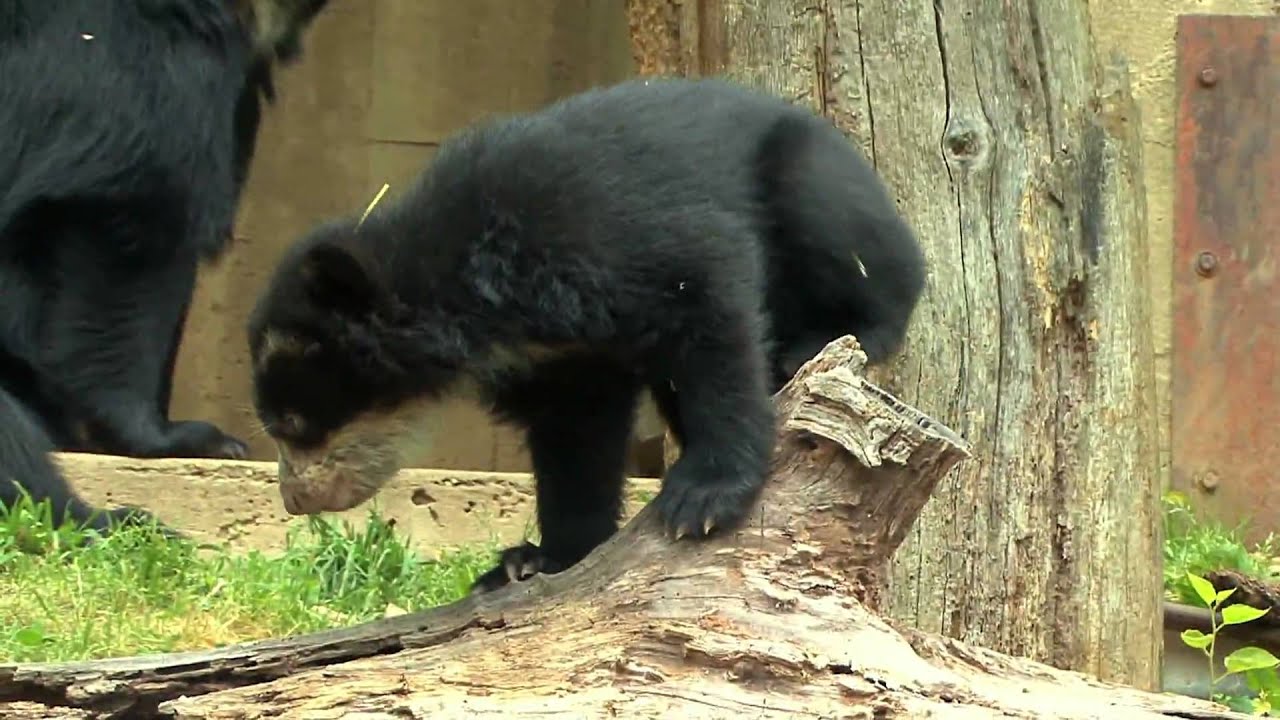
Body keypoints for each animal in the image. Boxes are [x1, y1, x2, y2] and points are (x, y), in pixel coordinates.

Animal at [246, 76, 927, 592]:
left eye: (294, 425)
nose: (294, 498)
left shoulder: (608, 240)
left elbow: (711, 314)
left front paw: (701, 503)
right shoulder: (561, 362)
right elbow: (575, 441)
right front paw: (535, 560)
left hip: (811, 182)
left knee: (858, 253)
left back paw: (826, 340)